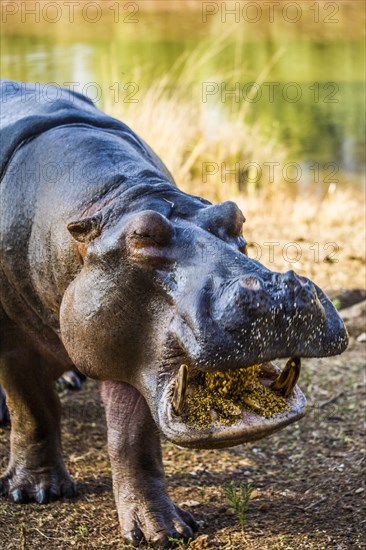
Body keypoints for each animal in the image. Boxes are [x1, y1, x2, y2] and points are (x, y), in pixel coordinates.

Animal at [0, 81, 348, 548]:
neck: (116, 198)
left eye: (234, 215)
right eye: (142, 234)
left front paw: (163, 530)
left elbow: (133, 440)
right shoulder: (14, 340)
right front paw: (37, 492)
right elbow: (32, 408)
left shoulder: (128, 356)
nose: (277, 293)